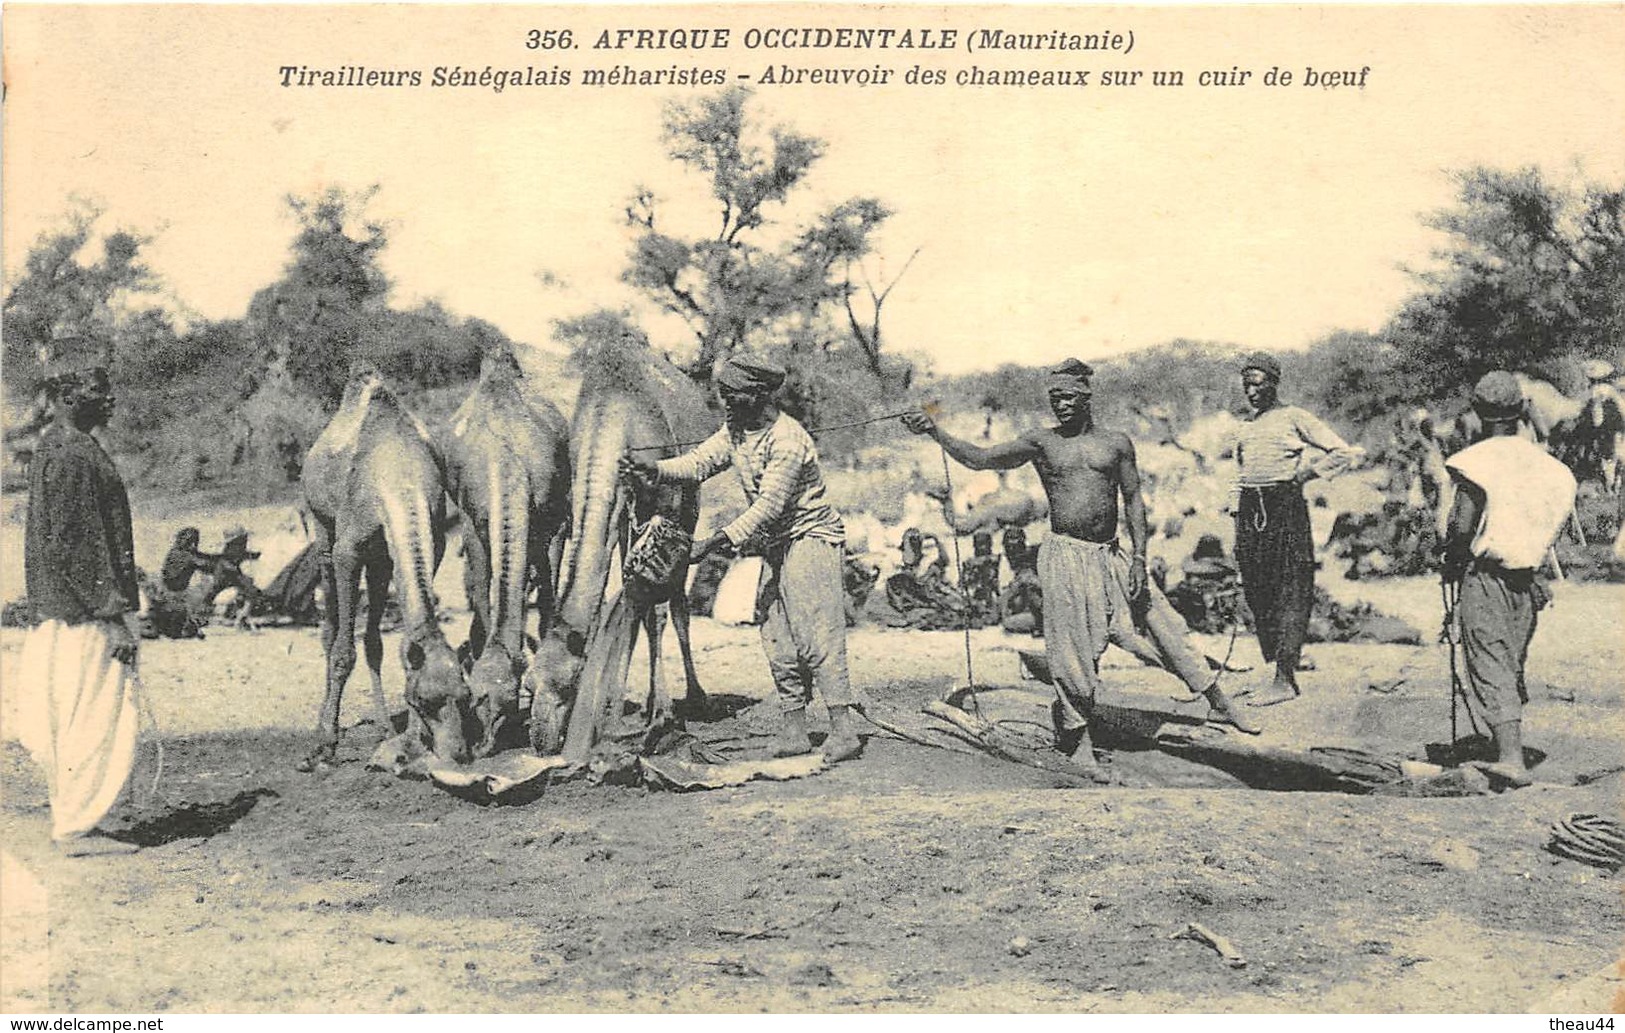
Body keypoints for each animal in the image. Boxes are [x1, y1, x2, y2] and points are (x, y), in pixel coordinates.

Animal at [297, 360, 468, 766]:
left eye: (464, 697)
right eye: (427, 701)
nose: (458, 754)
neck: (399, 476)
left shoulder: (433, 544)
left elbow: (400, 645)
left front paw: (404, 739)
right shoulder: (348, 550)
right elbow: (343, 652)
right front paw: (326, 744)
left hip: (380, 560)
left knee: (373, 638)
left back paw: (382, 727)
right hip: (321, 528)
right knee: (330, 628)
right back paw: (325, 725)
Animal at [442, 350, 575, 753]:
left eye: (498, 702)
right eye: (475, 699)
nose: (482, 745)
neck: (506, 464)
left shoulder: (554, 519)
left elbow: (549, 595)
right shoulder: (472, 522)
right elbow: (483, 593)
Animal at [529, 339, 715, 760]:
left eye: (569, 686)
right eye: (528, 684)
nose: (540, 741)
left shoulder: (662, 506)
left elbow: (654, 613)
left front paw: (662, 715)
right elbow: (631, 606)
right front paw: (614, 715)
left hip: (690, 500)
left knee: (678, 604)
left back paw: (695, 698)